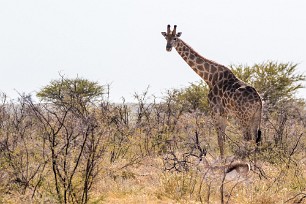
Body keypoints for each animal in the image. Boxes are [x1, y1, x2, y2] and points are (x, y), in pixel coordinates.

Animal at [161, 24, 262, 158]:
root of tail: (258, 100)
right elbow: (223, 139)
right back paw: (255, 163)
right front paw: (224, 159)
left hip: (243, 117)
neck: (210, 78)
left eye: (175, 38)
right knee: (256, 140)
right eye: (166, 37)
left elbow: (219, 139)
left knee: (248, 138)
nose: (168, 48)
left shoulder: (214, 110)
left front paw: (222, 160)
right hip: (256, 117)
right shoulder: (224, 113)